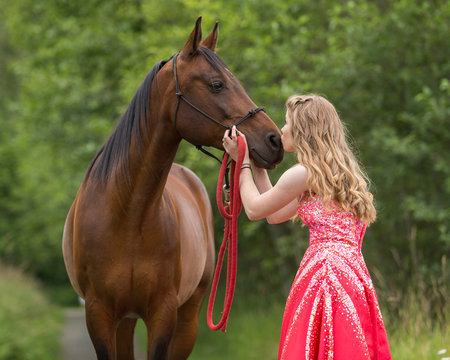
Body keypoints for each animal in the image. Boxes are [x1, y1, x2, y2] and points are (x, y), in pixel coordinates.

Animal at [62, 17, 284, 360]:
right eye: (217, 84)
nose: (275, 141)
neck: (128, 212)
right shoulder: (98, 315)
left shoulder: (163, 313)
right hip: (124, 320)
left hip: (186, 319)